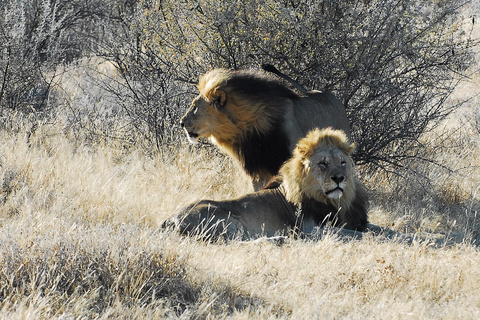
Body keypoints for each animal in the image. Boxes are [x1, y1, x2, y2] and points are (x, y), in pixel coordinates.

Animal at [165, 127, 372, 240]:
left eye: (342, 162)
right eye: (323, 163)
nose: (339, 178)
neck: (336, 201)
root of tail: (169, 219)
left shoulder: (354, 220)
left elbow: (375, 229)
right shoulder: (313, 229)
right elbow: (356, 235)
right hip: (228, 222)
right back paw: (279, 238)